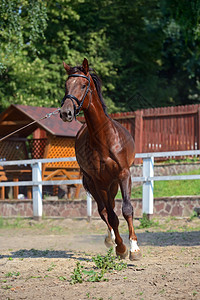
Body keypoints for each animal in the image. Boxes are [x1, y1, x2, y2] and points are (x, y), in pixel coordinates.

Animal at [60, 57, 141, 258]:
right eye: (66, 85)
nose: (65, 113)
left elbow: (127, 209)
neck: (104, 139)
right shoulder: (98, 181)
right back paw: (111, 240)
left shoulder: (123, 174)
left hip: (112, 184)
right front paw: (121, 248)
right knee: (104, 210)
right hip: (96, 184)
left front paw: (134, 248)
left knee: (110, 207)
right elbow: (111, 215)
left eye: (83, 85)